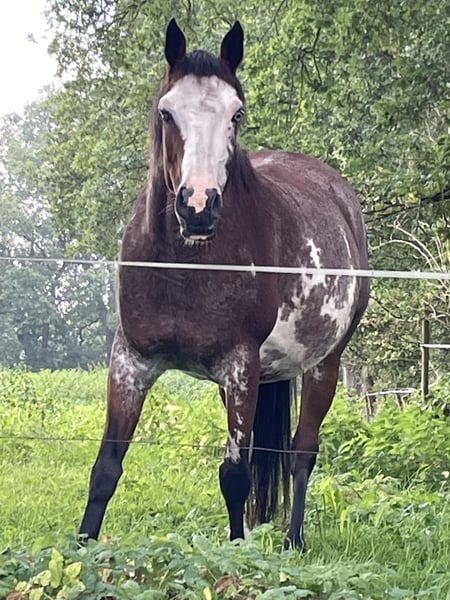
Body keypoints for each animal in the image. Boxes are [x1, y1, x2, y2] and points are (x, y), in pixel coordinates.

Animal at [79, 18, 370, 550]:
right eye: (167, 111)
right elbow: (106, 469)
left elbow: (234, 477)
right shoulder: (130, 360)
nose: (198, 206)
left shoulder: (239, 364)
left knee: (302, 451)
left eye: (236, 114)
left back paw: (293, 540)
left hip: (324, 365)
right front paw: (80, 551)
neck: (184, 270)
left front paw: (238, 558)